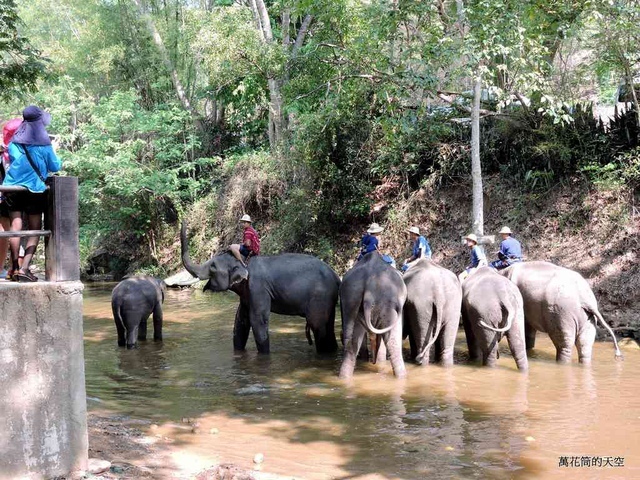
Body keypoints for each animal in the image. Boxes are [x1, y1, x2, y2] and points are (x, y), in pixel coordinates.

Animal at [180, 221, 340, 352]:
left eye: (212, 267)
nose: (184, 220)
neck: (245, 261)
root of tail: (337, 277)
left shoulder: (258, 288)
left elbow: (258, 320)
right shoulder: (247, 293)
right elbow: (240, 321)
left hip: (320, 296)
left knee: (318, 325)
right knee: (328, 327)